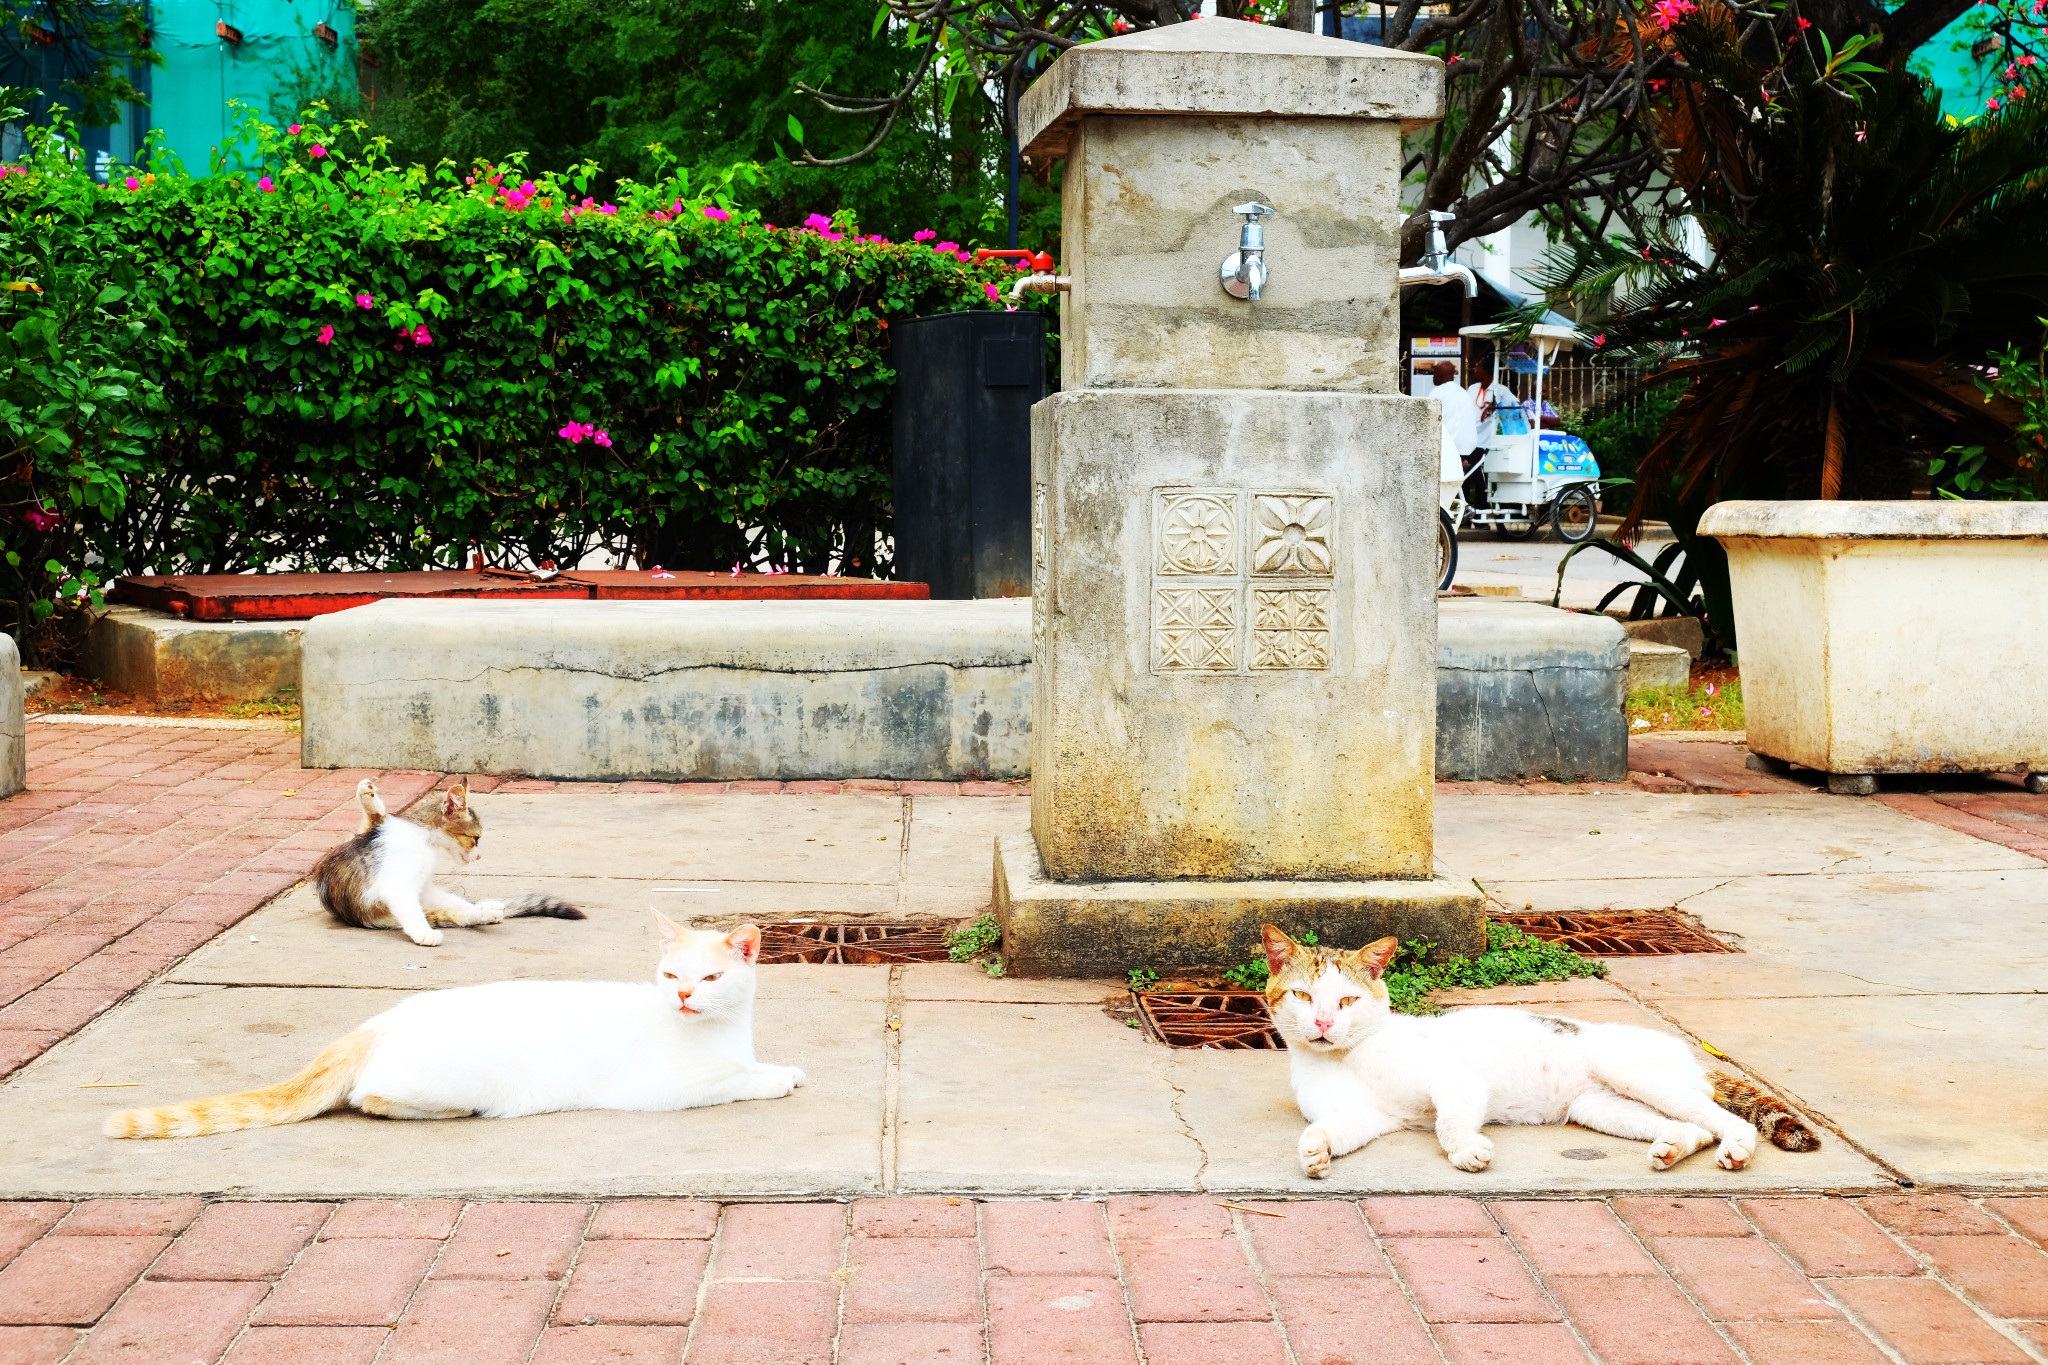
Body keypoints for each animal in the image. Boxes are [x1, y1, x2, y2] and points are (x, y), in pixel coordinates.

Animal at [105, 916, 798, 1146]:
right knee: (372, 1098)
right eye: (671, 974)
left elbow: (754, 1067)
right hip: (456, 1083)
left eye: (710, 978)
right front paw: (775, 1080)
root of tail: (376, 1022)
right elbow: (738, 1083)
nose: (681, 995)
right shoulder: (670, 1091)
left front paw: (781, 1067)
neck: (726, 1032)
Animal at [311, 777, 585, 949]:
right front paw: (423, 932)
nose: (479, 857)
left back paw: (488, 909)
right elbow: (413, 911)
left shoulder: (414, 879)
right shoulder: (396, 886)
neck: (422, 837)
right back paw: (485, 912)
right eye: (476, 839)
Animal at [1253, 925, 1802, 1178]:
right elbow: (1331, 1129)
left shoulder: (1456, 1082)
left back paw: (1736, 1148)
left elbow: (1449, 1122)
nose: (1324, 1023)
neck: (1344, 1058)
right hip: (1601, 1107)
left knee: (1729, 1122)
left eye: (1347, 1001)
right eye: (1303, 996)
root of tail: (1691, 1055)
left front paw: (1465, 1149)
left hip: (1633, 1074)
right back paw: (1670, 1149)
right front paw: (1315, 1150)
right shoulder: (1366, 1117)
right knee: (1692, 1128)